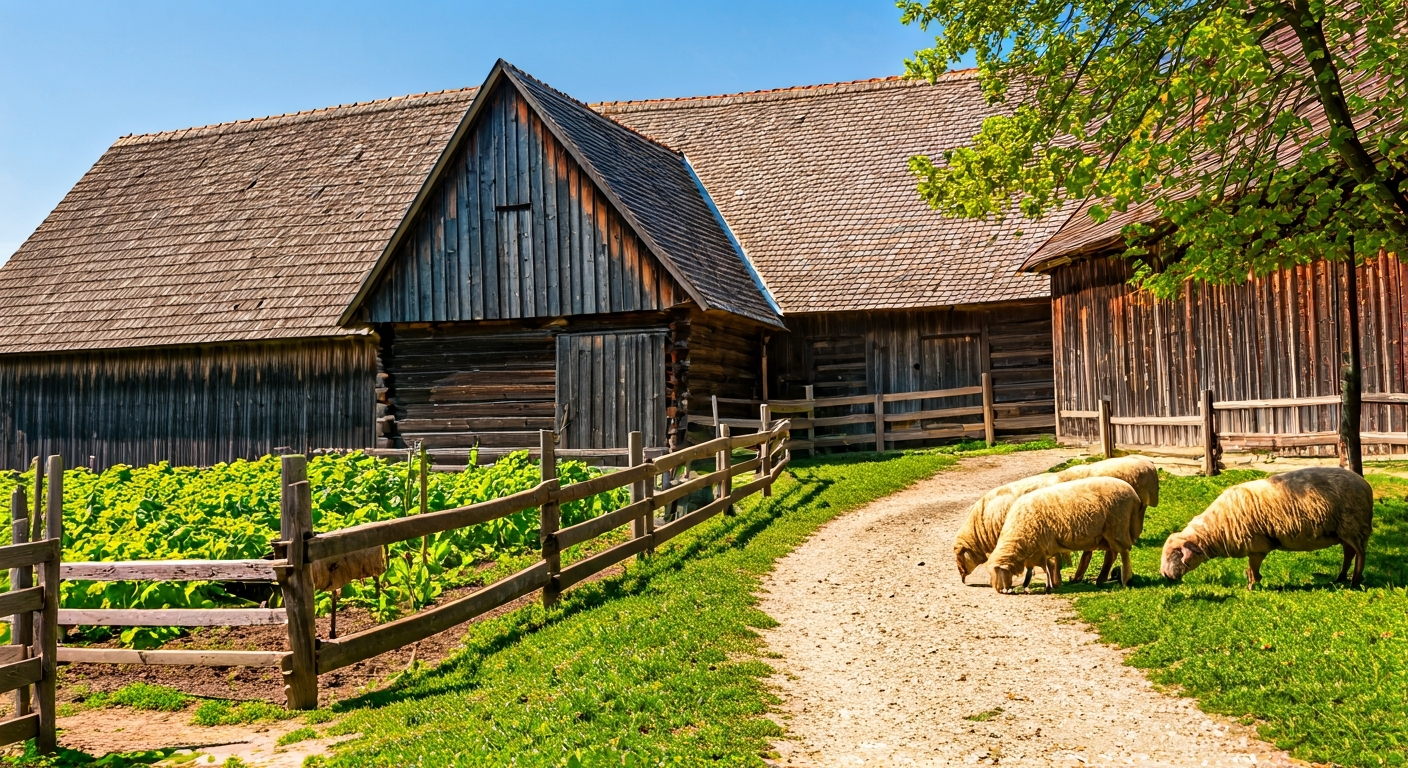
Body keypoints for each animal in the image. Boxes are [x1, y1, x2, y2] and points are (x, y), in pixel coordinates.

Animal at [988, 476, 1141, 593]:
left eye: (996, 573)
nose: (999, 590)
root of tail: (1134, 495)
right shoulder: (1043, 548)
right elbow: (1042, 567)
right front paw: (1052, 584)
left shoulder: (1045, 544)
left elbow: (1049, 566)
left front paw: (1052, 585)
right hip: (1106, 533)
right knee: (1112, 554)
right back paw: (1100, 580)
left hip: (1117, 527)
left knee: (1124, 552)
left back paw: (1125, 580)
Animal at [1160, 466, 1373, 589]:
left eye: (1174, 554)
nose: (1164, 575)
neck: (1215, 529)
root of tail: (1364, 483)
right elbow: (1251, 567)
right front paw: (1252, 581)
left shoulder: (1257, 546)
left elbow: (1253, 567)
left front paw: (1252, 585)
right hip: (1344, 531)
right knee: (1349, 553)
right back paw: (1340, 578)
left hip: (1355, 526)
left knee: (1360, 554)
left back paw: (1355, 581)